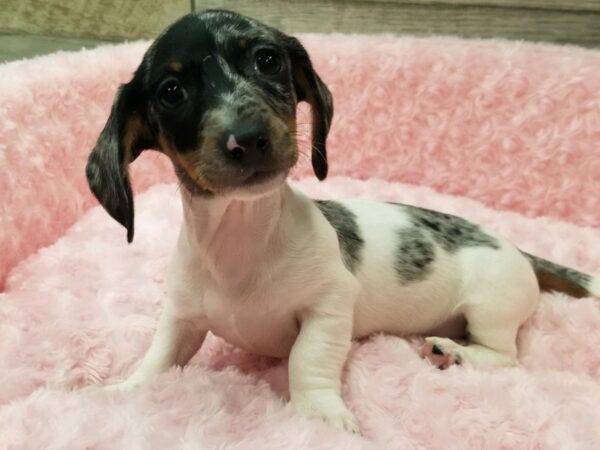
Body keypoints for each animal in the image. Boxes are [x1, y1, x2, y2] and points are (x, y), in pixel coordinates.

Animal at [86, 9, 596, 432]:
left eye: (267, 60)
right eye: (171, 92)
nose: (247, 139)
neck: (243, 237)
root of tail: (513, 246)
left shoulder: (328, 307)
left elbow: (306, 361)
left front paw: (320, 417)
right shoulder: (183, 316)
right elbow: (159, 359)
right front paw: (123, 391)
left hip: (491, 303)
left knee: (505, 357)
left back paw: (454, 353)